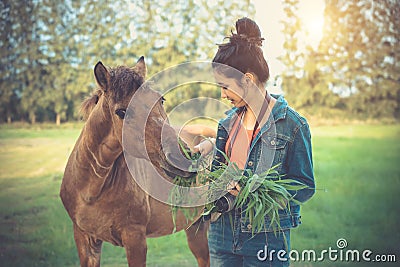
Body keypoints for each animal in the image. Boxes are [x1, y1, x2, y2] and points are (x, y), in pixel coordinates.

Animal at [59, 58, 211, 267]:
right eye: (121, 112)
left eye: (161, 100)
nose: (184, 158)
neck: (91, 190)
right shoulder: (85, 241)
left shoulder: (135, 240)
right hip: (195, 226)